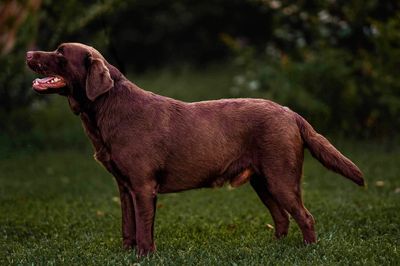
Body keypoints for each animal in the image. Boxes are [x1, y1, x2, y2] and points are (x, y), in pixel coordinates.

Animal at [25, 42, 366, 256]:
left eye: (60, 52)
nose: (28, 52)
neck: (107, 110)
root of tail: (291, 112)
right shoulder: (124, 186)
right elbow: (128, 226)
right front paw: (127, 253)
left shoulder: (143, 186)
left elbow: (144, 229)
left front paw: (144, 255)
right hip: (263, 180)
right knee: (282, 218)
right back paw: (276, 248)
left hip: (281, 178)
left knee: (305, 217)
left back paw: (309, 250)